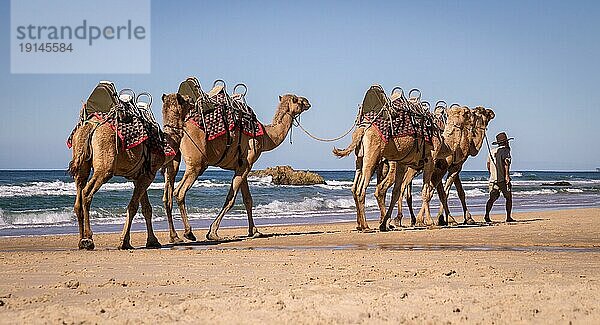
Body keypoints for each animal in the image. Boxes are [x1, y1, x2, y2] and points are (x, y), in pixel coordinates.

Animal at [69, 92, 193, 249]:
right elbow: (133, 206)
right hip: (104, 168)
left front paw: (152, 241)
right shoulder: (149, 174)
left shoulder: (140, 176)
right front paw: (124, 242)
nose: (192, 100)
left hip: (81, 164)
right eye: (185, 99)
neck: (163, 145)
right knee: (86, 192)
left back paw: (81, 240)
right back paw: (88, 239)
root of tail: (90, 127)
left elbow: (146, 209)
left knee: (78, 196)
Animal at [164, 93, 314, 240]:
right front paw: (213, 233)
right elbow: (231, 199)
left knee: (168, 195)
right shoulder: (247, 163)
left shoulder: (243, 166)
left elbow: (248, 200)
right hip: (196, 164)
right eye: (298, 100)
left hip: (174, 160)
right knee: (179, 192)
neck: (266, 136)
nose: (308, 102)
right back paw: (189, 233)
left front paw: (254, 231)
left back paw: (174, 236)